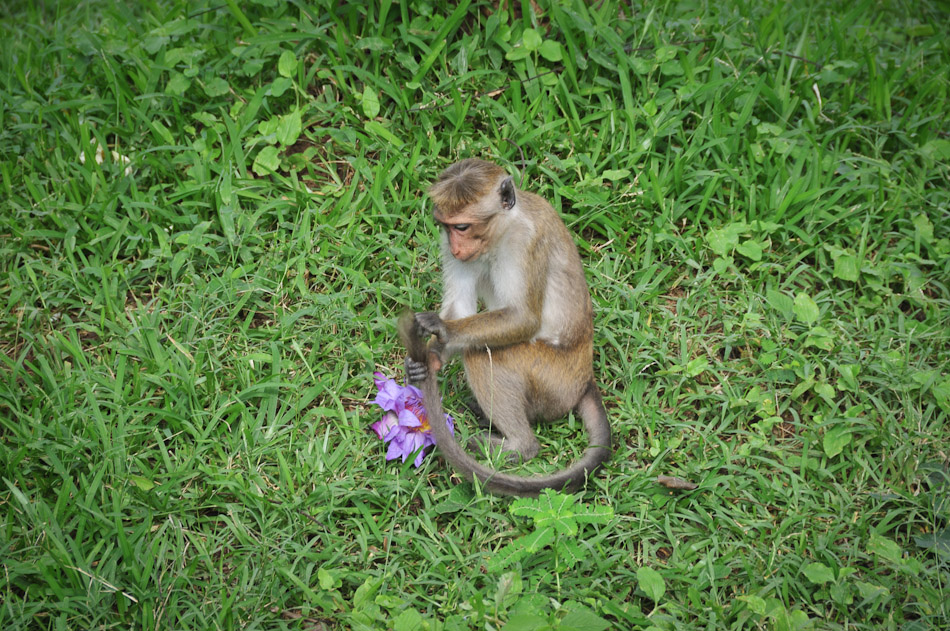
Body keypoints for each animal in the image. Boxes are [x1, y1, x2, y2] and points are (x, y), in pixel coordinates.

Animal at [400, 156, 608, 496]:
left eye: (462, 226)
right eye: (446, 227)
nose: (456, 248)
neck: (502, 229)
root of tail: (585, 379)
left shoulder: (525, 242)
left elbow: (523, 318)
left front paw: (442, 329)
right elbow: (461, 307)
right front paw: (428, 359)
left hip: (553, 380)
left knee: (483, 355)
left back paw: (520, 447)